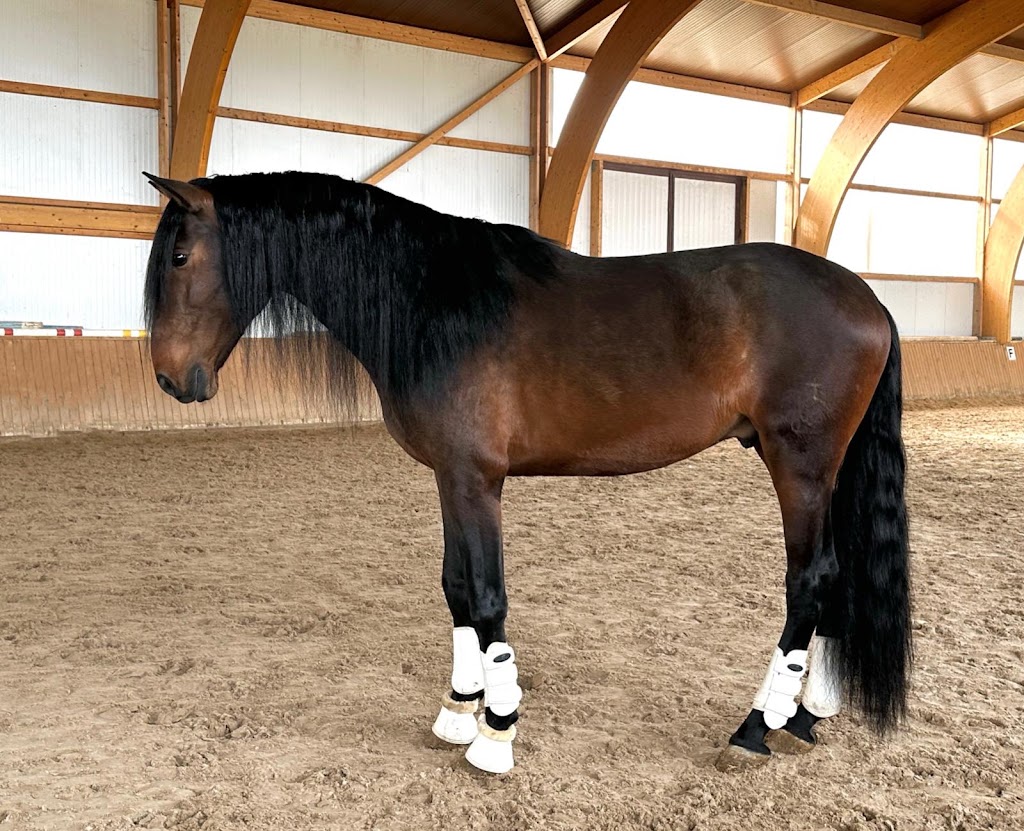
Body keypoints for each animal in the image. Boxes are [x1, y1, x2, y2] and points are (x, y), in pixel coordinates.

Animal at [142, 170, 911, 775]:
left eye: (179, 255)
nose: (172, 379)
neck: (432, 299)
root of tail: (868, 299)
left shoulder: (476, 479)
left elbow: (486, 596)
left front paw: (496, 730)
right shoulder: (450, 476)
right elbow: (455, 587)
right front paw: (459, 707)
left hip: (800, 463)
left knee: (809, 580)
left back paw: (755, 726)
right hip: (827, 470)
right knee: (835, 577)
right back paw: (803, 715)